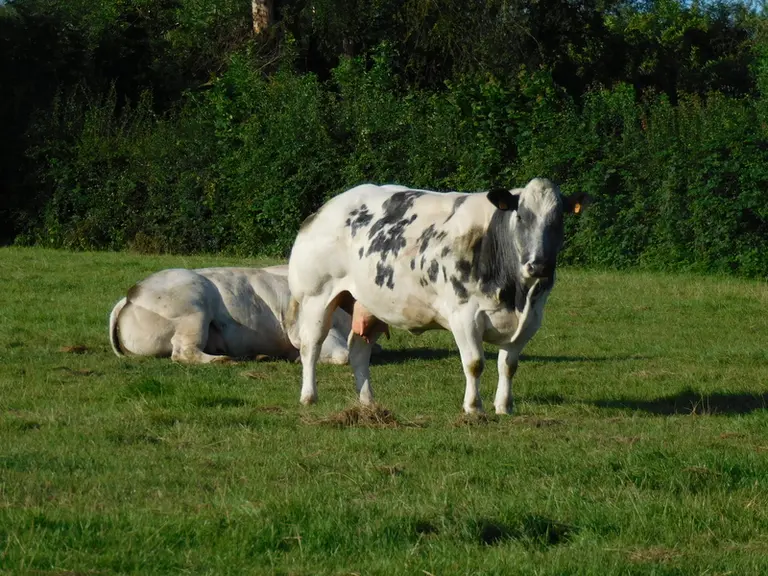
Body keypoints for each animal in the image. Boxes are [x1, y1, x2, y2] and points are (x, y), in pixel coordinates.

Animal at [286, 178, 588, 413]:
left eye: (558, 220)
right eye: (522, 216)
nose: (539, 265)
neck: (516, 294)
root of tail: (325, 209)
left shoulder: (530, 320)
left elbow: (509, 365)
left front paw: (504, 406)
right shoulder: (464, 316)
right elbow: (475, 363)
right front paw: (473, 407)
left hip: (370, 303)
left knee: (358, 350)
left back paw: (367, 402)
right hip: (316, 296)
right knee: (311, 346)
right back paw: (308, 396)